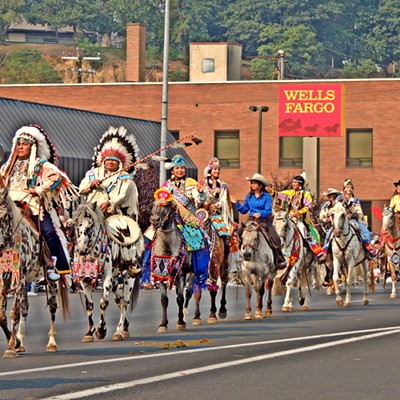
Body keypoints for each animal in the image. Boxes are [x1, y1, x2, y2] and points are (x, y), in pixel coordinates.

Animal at [0, 177, 69, 358]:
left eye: (4, 215)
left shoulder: (19, 277)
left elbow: (14, 313)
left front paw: (11, 346)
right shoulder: (5, 278)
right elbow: (3, 315)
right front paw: (15, 342)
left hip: (50, 281)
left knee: (52, 307)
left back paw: (52, 343)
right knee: (25, 308)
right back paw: (21, 342)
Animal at [73, 202, 142, 342]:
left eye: (91, 225)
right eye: (77, 224)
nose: (81, 251)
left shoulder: (107, 277)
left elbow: (103, 302)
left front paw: (101, 330)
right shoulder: (85, 279)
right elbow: (89, 305)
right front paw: (89, 332)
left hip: (128, 276)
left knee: (125, 302)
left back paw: (118, 331)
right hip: (115, 281)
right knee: (119, 300)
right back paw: (125, 328)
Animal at [149, 200, 203, 334]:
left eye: (167, 204)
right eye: (153, 203)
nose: (155, 220)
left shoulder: (180, 275)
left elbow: (180, 299)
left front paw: (180, 322)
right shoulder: (161, 275)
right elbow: (164, 300)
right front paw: (163, 324)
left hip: (192, 273)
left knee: (190, 293)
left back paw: (192, 316)